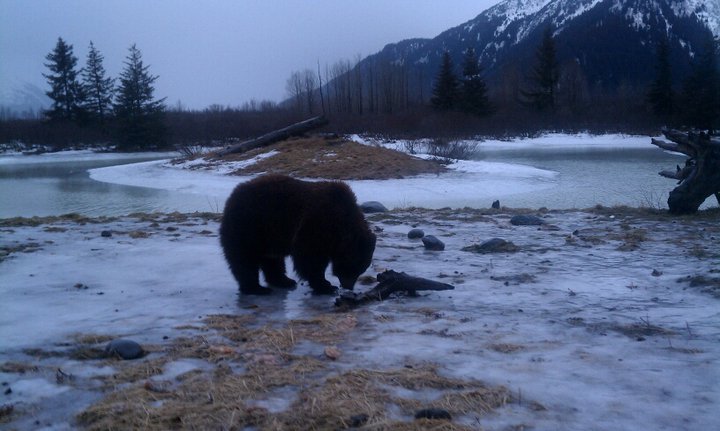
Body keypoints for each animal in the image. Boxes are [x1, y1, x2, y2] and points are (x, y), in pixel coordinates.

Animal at [219, 174, 376, 295]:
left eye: (361, 268)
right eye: (352, 266)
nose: (348, 286)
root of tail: (232, 197)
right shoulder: (316, 222)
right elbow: (310, 257)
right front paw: (325, 285)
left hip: (269, 234)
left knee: (272, 259)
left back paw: (284, 280)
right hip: (250, 225)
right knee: (245, 258)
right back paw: (256, 288)